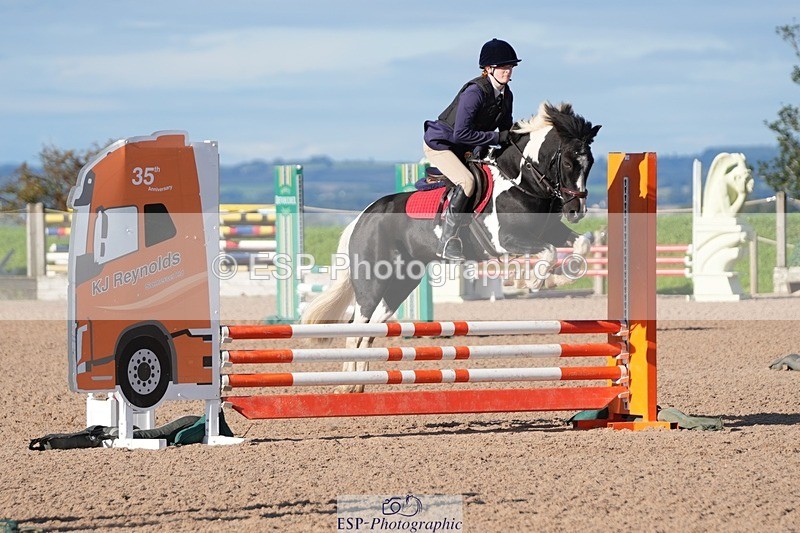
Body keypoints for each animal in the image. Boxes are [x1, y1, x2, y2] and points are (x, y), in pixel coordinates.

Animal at [302, 101, 601, 393]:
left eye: (590, 164)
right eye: (569, 163)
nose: (576, 211)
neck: (520, 183)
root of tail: (363, 216)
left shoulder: (549, 231)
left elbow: (581, 244)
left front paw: (559, 279)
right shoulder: (505, 239)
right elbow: (548, 251)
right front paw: (533, 282)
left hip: (402, 281)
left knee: (371, 330)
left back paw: (360, 383)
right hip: (372, 280)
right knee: (355, 328)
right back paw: (347, 385)